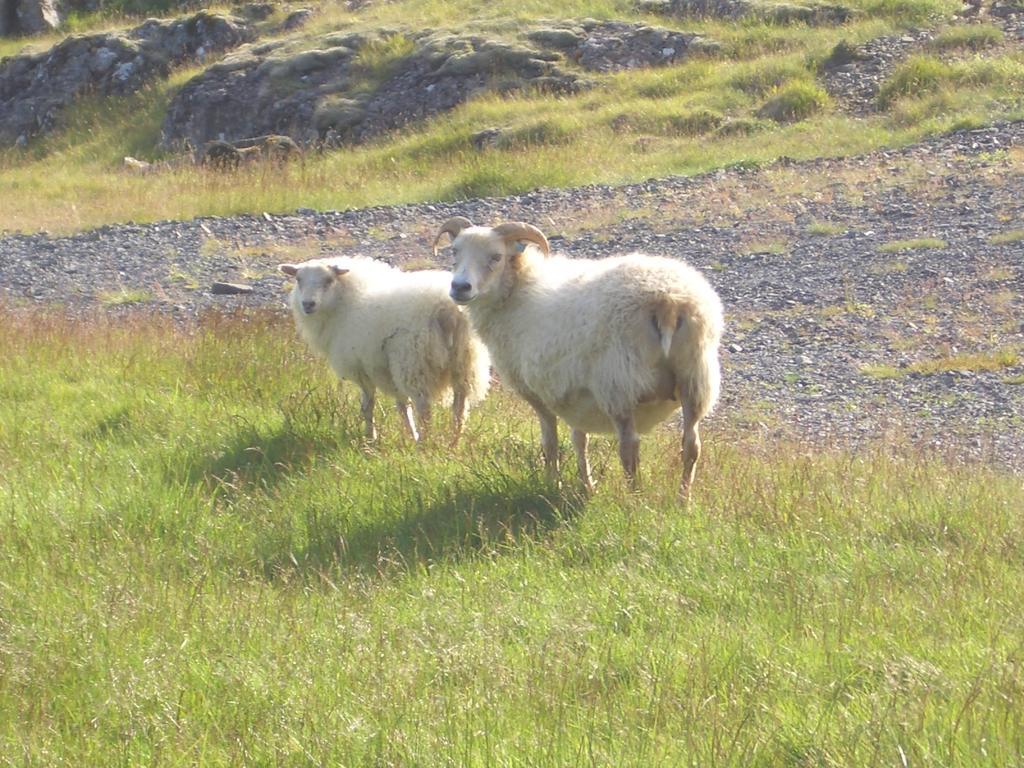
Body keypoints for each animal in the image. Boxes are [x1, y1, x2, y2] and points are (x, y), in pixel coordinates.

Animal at [278, 257, 489, 444]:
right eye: (298, 279)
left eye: (328, 280)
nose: (308, 304)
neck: (344, 301)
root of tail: (448, 311)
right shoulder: (387, 369)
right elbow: (402, 405)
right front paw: (409, 435)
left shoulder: (361, 369)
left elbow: (367, 405)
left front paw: (370, 437)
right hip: (465, 361)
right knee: (459, 407)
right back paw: (453, 442)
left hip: (414, 362)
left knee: (424, 410)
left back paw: (424, 444)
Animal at [436, 219, 724, 501]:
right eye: (455, 251)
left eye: (496, 256)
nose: (459, 287)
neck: (517, 291)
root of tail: (669, 301)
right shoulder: (574, 394)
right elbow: (579, 439)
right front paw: (587, 486)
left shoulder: (536, 391)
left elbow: (550, 441)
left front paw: (552, 483)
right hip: (695, 376)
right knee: (691, 444)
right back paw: (683, 501)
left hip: (618, 382)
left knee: (629, 446)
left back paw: (634, 501)